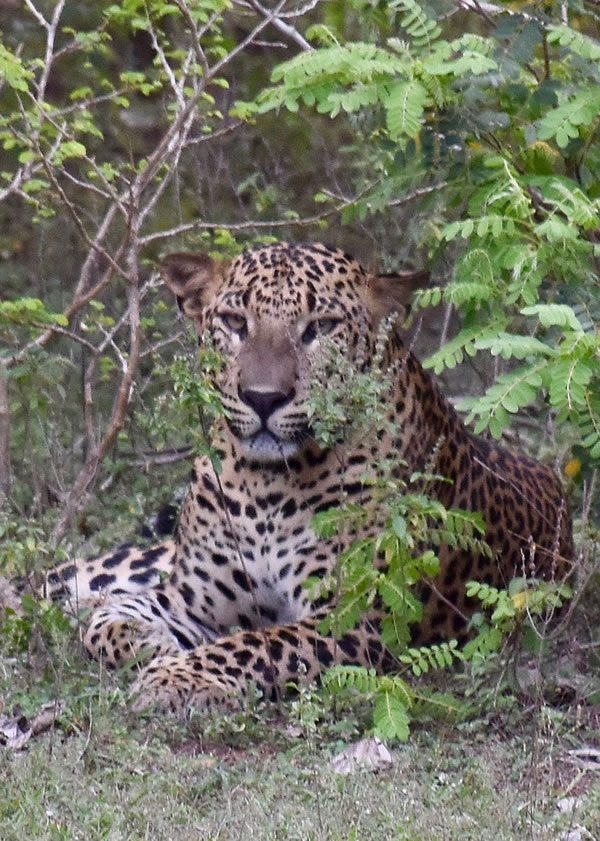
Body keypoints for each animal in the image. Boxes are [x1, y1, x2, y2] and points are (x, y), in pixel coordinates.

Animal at [42, 240, 572, 712]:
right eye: (235, 322)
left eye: (321, 327)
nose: (262, 398)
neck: (261, 483)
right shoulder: (188, 597)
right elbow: (107, 622)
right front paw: (155, 643)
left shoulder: (352, 619)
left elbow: (254, 645)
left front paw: (177, 678)